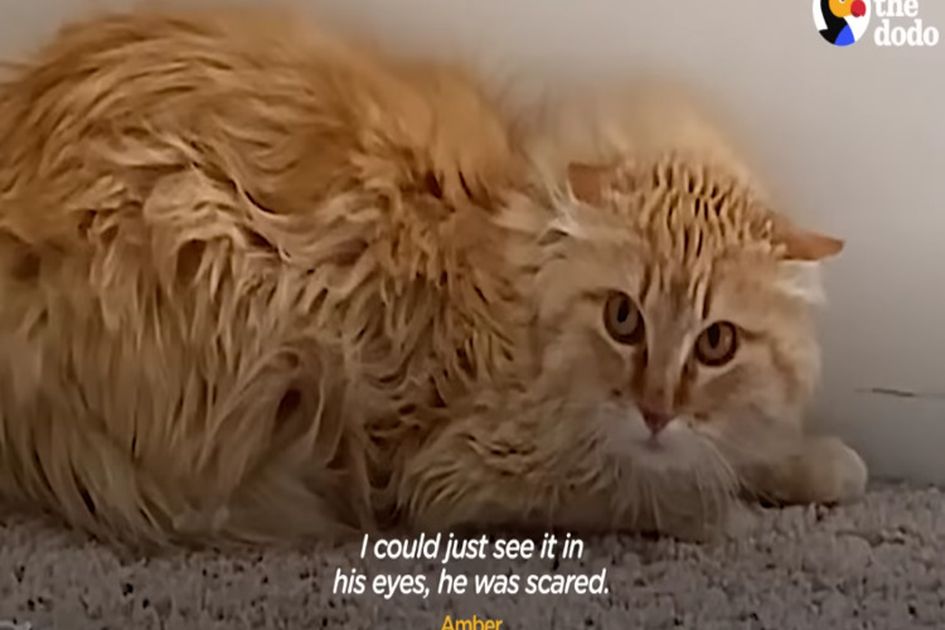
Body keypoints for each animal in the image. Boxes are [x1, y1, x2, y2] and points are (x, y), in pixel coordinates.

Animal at [0, 4, 867, 548]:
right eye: (622, 319)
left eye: (716, 343)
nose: (656, 408)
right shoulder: (467, 471)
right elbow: (632, 491)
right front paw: (726, 513)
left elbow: (751, 448)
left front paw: (810, 462)